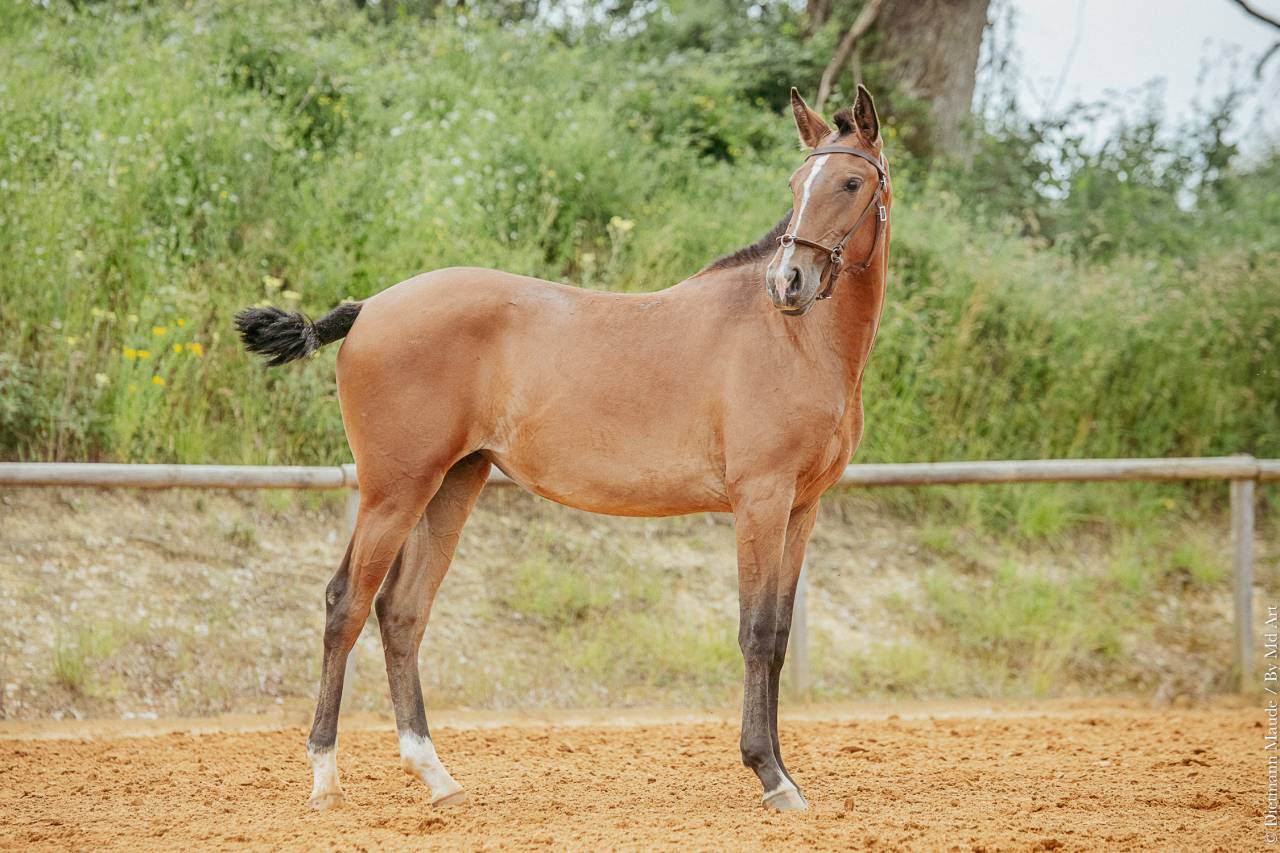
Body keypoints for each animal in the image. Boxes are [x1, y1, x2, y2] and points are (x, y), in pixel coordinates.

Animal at [236, 85, 891, 813]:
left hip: (451, 485)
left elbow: (776, 634)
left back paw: (435, 775)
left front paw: (784, 774)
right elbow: (753, 633)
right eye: (797, 185)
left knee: (401, 612)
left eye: (851, 181)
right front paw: (769, 774)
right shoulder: (761, 501)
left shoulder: (801, 509)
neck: (791, 341)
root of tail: (370, 307)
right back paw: (325, 775)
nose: (788, 282)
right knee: (345, 604)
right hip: (393, 490)